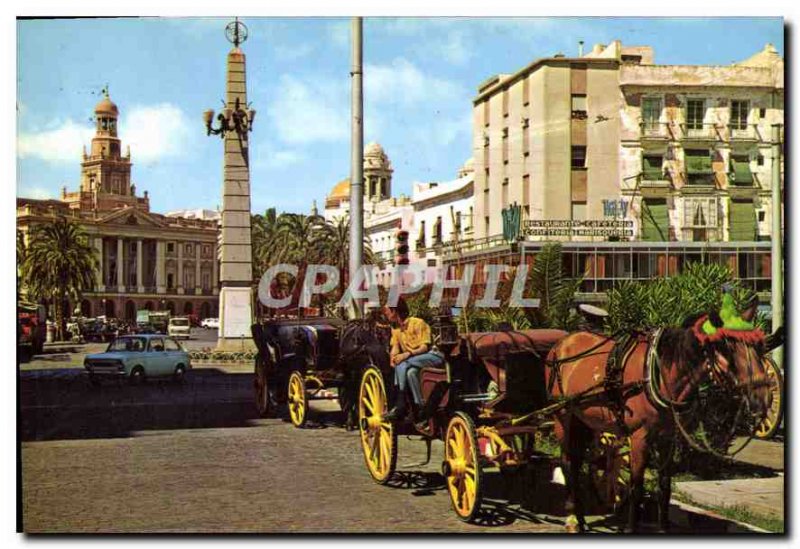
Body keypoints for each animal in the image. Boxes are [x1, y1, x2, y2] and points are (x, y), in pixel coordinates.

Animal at [548, 304, 772, 532]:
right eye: (727, 348)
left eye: (759, 347)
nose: (764, 398)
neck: (660, 373)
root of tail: (563, 342)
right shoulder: (639, 437)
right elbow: (636, 488)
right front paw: (631, 528)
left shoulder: (668, 438)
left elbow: (664, 486)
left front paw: (663, 527)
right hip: (563, 416)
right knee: (568, 463)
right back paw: (572, 519)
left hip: (584, 419)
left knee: (577, 461)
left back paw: (581, 518)